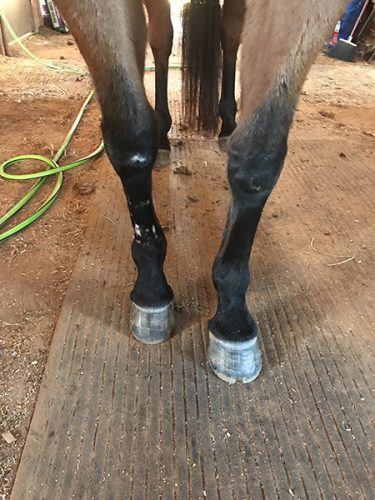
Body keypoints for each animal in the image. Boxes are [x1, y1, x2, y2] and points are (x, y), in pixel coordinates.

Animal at [54, 0, 348, 382]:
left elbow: (258, 159)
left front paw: (232, 319)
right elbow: (130, 138)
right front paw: (151, 288)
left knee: (230, 35)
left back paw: (227, 124)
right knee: (163, 39)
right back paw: (164, 135)